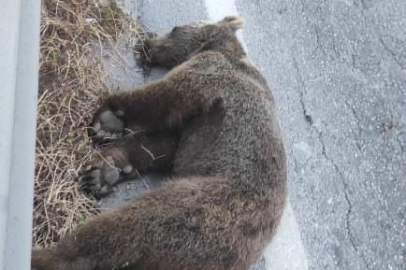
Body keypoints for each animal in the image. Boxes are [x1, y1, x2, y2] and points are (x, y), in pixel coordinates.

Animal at [31, 15, 288, 268]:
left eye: (175, 27)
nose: (147, 42)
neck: (221, 47)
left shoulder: (211, 75)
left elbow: (162, 98)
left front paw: (108, 118)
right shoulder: (195, 130)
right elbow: (164, 146)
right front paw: (110, 164)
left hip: (203, 206)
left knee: (129, 228)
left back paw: (48, 255)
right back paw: (101, 176)